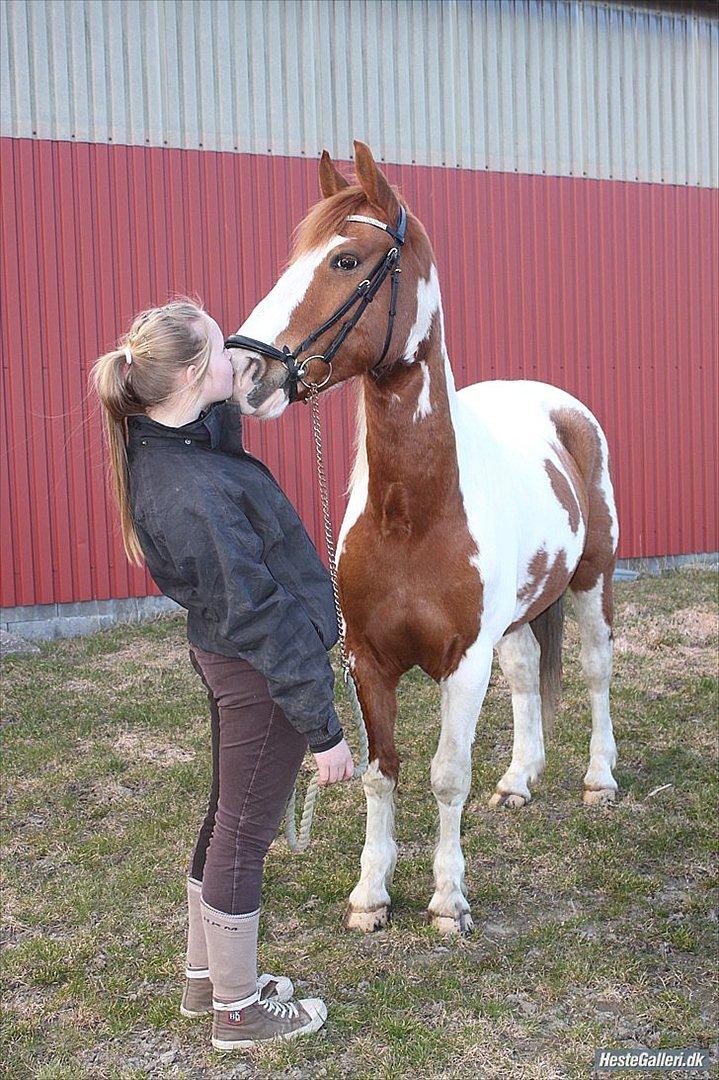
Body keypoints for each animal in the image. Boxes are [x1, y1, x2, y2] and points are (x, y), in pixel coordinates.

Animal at [227, 141, 617, 937]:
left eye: (345, 259)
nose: (249, 369)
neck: (412, 514)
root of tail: (558, 406)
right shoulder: (369, 663)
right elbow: (382, 774)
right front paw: (371, 894)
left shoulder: (461, 664)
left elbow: (445, 776)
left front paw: (447, 900)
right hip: (520, 613)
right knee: (526, 674)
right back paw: (519, 781)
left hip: (593, 577)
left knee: (596, 667)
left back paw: (599, 779)